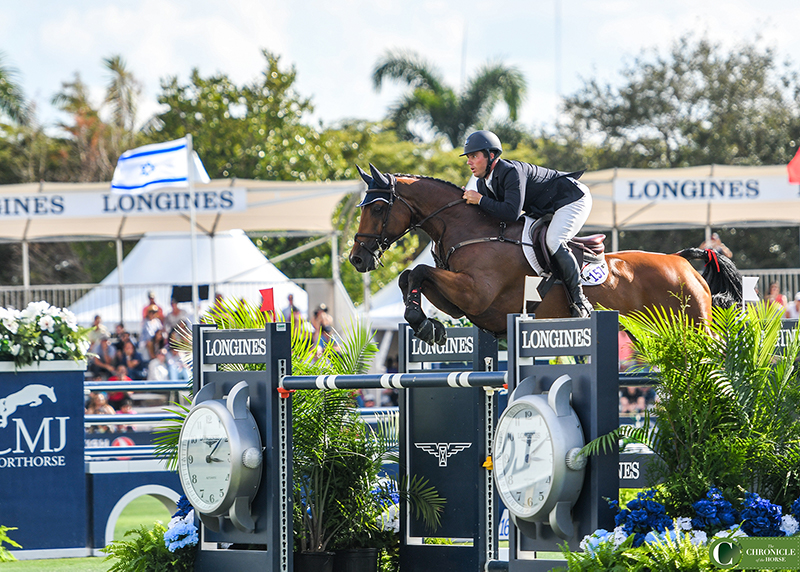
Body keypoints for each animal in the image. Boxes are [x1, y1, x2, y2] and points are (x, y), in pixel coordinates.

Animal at [350, 163, 744, 346]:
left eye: (379, 208)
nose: (357, 258)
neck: (471, 229)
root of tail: (683, 264)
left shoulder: (475, 293)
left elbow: (417, 273)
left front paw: (423, 325)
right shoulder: (460, 302)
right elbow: (410, 276)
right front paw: (427, 325)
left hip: (693, 326)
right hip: (651, 333)